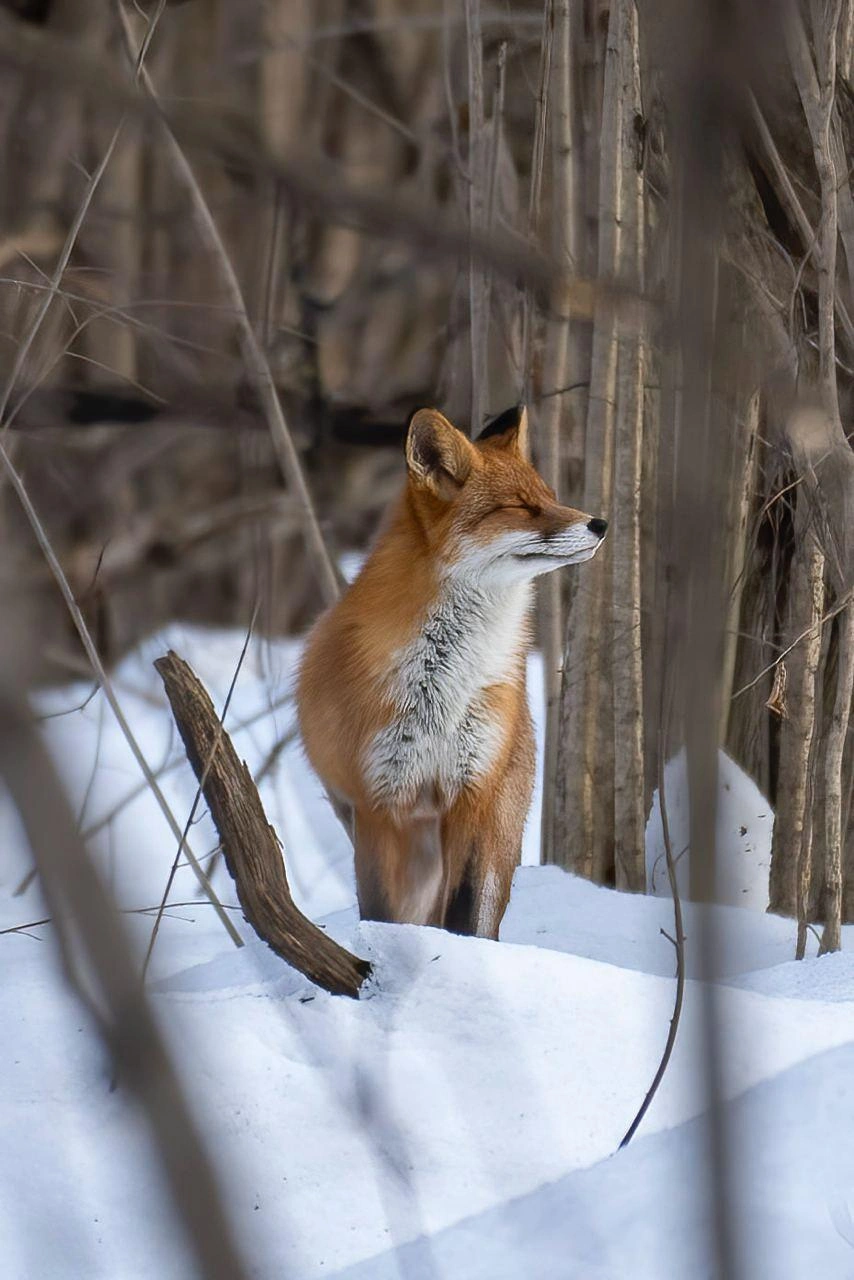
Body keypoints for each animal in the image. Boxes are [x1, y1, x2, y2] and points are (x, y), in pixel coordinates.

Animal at [297, 407, 604, 942]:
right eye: (522, 507)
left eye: (550, 497)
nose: (601, 523)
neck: (442, 678)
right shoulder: (380, 802)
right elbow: (382, 911)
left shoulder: (470, 793)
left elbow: (459, 910)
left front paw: (457, 955)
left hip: (498, 826)